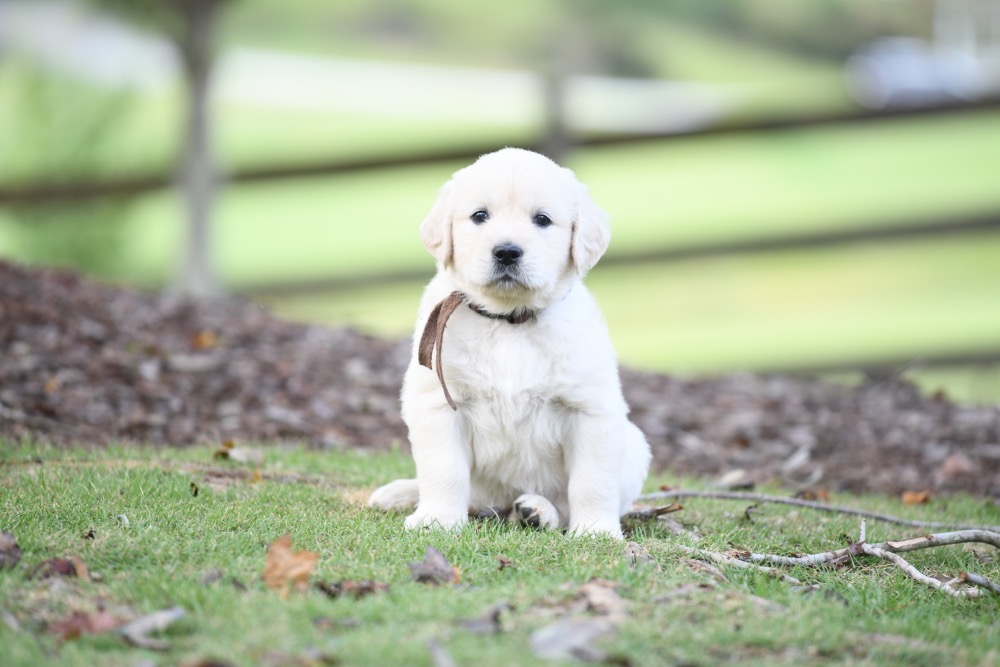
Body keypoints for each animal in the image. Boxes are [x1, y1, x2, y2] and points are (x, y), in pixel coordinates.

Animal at [368, 149, 648, 540]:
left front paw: (596, 531)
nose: (506, 252)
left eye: (542, 219)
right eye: (479, 216)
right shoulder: (439, 403)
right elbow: (443, 470)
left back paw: (537, 511)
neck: (509, 321)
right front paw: (437, 519)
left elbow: (592, 481)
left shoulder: (590, 409)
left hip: (635, 445)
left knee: (562, 502)